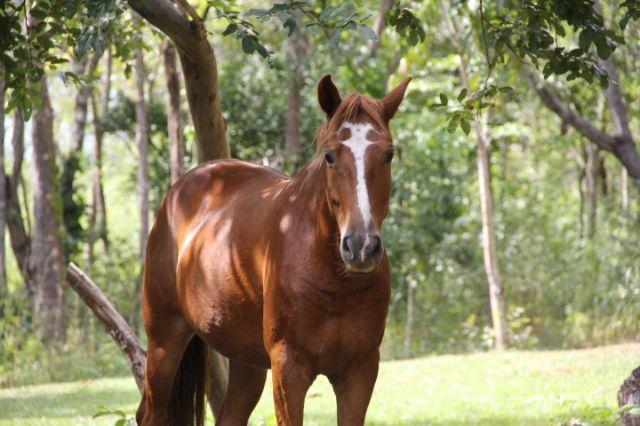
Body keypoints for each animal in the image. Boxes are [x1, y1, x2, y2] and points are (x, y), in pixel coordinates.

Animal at [136, 76, 410, 426]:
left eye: (388, 155)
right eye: (330, 156)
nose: (361, 247)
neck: (334, 281)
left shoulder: (360, 371)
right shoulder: (288, 369)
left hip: (246, 363)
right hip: (165, 340)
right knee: (149, 412)